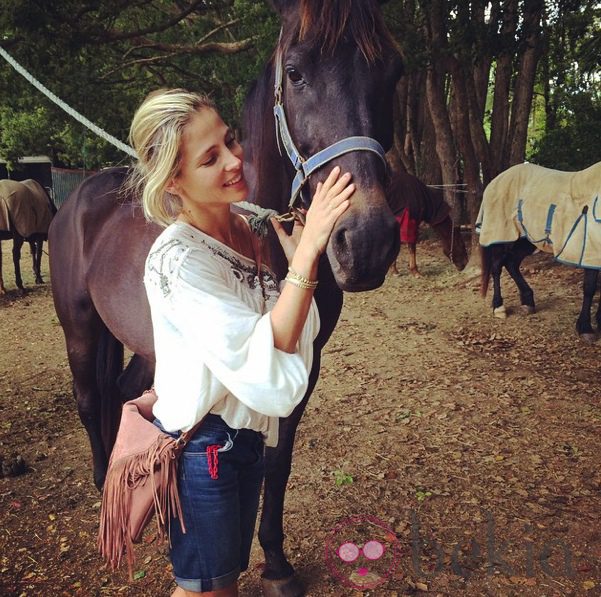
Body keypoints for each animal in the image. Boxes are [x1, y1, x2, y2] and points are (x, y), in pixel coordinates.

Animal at [48, 2, 404, 592]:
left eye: (393, 74)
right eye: (295, 73)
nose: (367, 242)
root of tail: (78, 196)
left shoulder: (304, 362)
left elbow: (277, 460)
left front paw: (277, 563)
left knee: (124, 395)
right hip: (79, 328)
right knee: (88, 399)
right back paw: (104, 485)